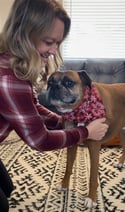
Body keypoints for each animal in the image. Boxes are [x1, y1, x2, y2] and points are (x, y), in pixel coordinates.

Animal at [46, 70, 125, 209]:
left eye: (69, 82)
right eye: (49, 82)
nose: (54, 86)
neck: (78, 111)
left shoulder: (94, 148)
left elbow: (93, 177)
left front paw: (91, 198)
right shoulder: (72, 144)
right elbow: (68, 168)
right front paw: (64, 184)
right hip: (120, 130)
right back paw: (120, 162)